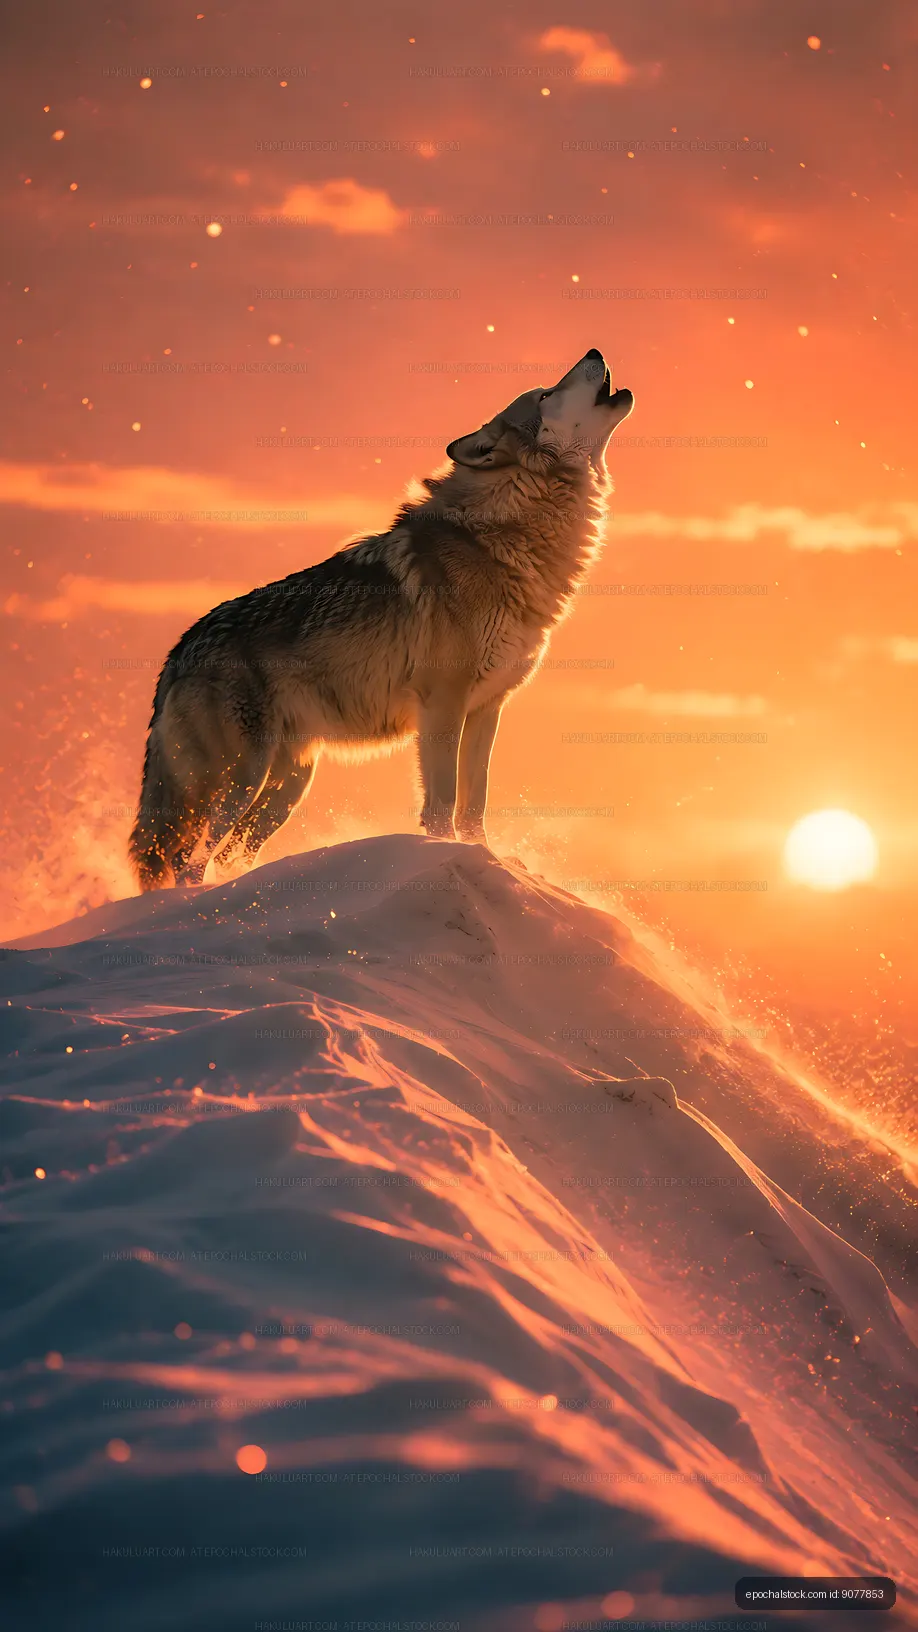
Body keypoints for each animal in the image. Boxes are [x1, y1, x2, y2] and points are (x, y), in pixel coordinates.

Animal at [130, 349, 633, 889]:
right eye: (544, 394)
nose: (594, 352)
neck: (504, 536)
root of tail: (178, 652)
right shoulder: (442, 706)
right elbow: (442, 803)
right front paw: (446, 858)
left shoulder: (487, 708)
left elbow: (474, 805)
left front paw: (487, 859)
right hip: (242, 780)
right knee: (188, 863)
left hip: (287, 789)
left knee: (227, 857)